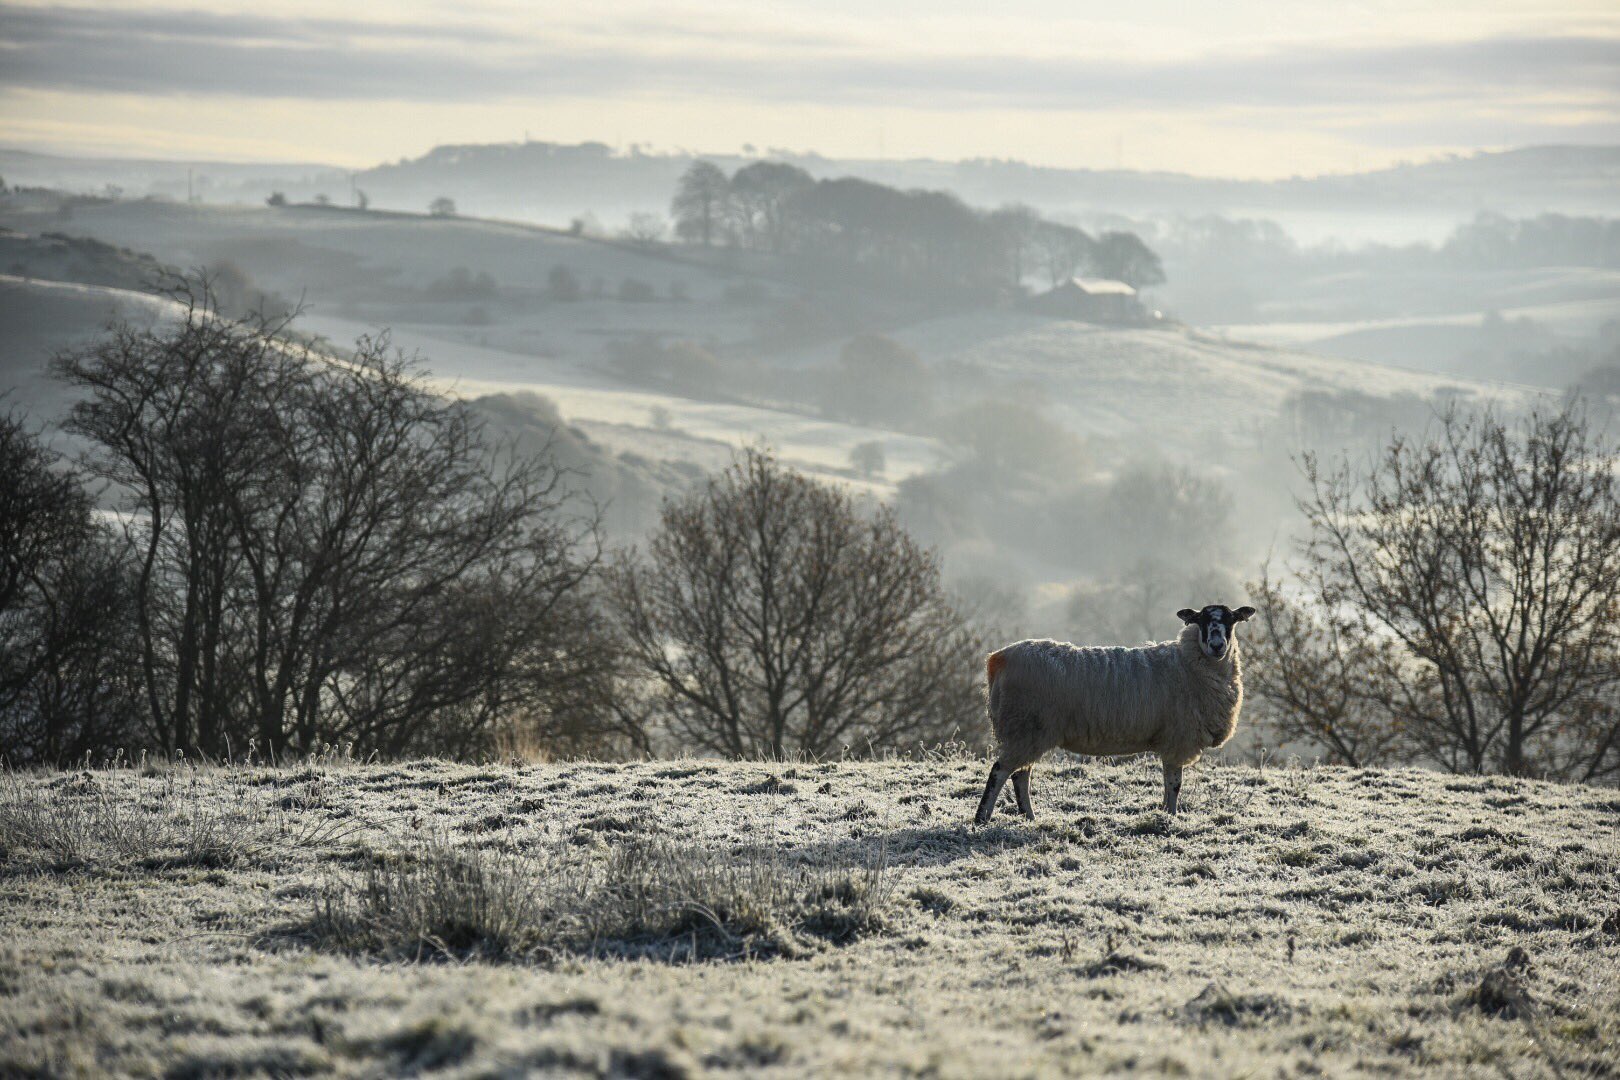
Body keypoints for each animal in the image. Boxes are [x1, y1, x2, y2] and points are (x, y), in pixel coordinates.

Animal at [972, 605, 1250, 822]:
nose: (1217, 646)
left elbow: (1168, 782)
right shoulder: (1177, 738)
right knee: (1000, 771)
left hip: (1028, 732)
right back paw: (982, 818)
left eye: (1231, 620)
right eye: (1201, 620)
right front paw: (1170, 816)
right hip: (1025, 727)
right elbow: (1174, 784)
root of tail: (998, 659)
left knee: (1020, 774)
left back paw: (1029, 816)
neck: (1188, 663)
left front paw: (1164, 813)